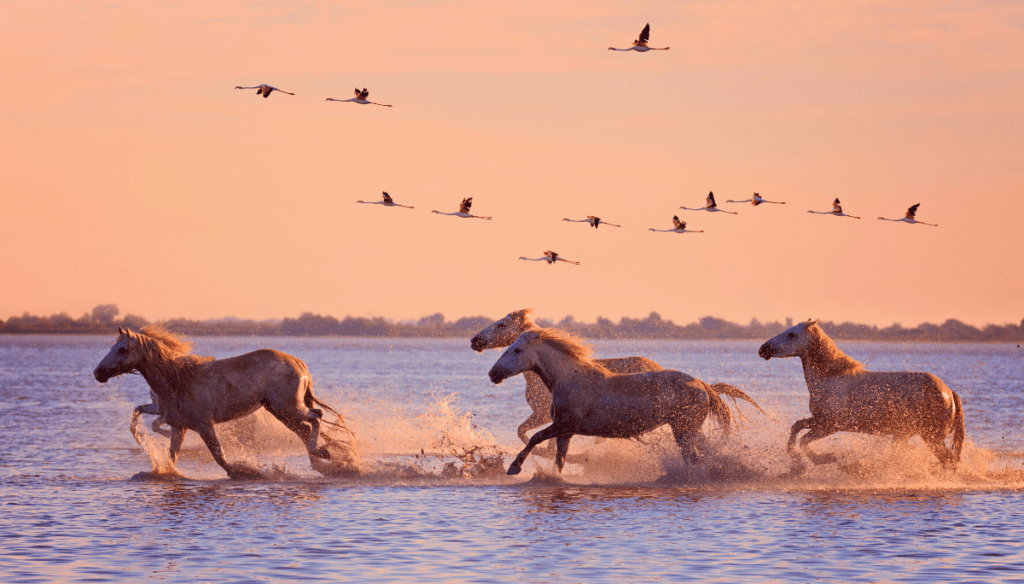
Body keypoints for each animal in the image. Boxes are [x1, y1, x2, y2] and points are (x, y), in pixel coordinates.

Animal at [95, 323, 360, 477]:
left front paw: (245, 472)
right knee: (304, 430)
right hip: (279, 411)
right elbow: (170, 453)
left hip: (289, 407)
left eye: (122, 350)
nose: (98, 373)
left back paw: (323, 455)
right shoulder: (178, 426)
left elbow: (220, 458)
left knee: (316, 417)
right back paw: (322, 462)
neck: (177, 380)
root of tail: (299, 363)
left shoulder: (204, 426)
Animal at [487, 327, 737, 473]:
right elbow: (559, 460)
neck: (567, 378)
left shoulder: (565, 424)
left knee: (696, 458)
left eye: (517, 350)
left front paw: (514, 467)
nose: (493, 374)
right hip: (688, 430)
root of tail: (702, 385)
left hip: (685, 430)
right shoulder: (565, 432)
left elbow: (535, 438)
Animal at [757, 317, 962, 469]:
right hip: (905, 435)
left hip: (932, 438)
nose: (762, 349)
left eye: (791, 334)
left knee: (950, 462)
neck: (830, 379)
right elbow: (796, 427)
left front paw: (824, 458)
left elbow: (804, 440)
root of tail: (949, 392)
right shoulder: (818, 420)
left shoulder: (830, 425)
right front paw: (796, 459)